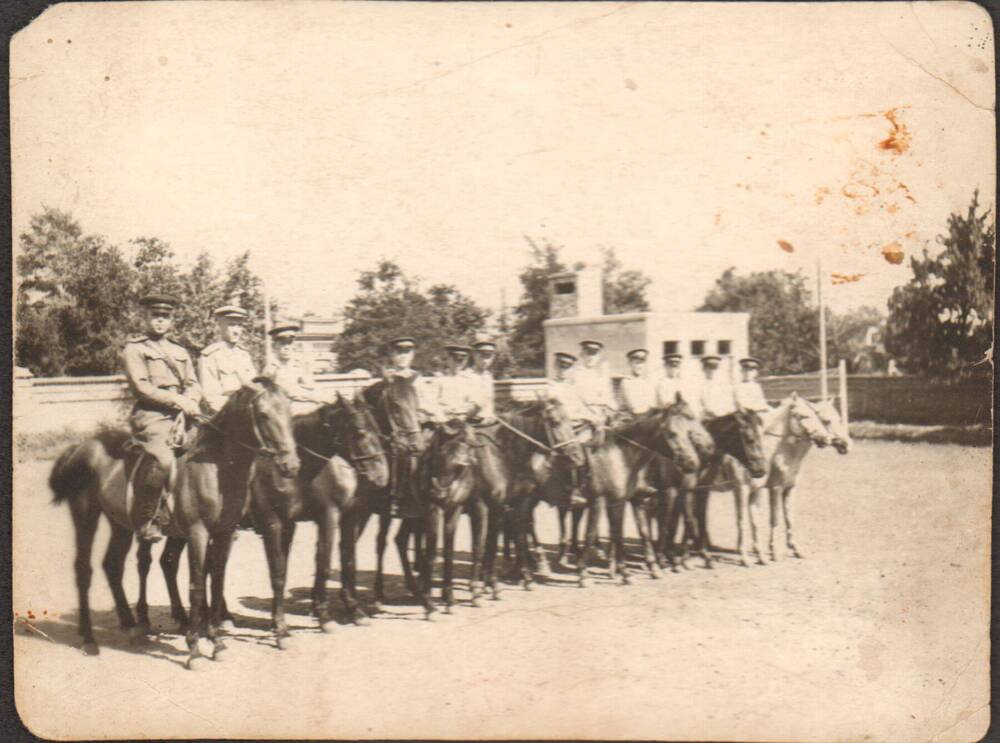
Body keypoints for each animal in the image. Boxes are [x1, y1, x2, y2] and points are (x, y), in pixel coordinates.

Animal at [47, 380, 296, 664]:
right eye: (263, 414)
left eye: (290, 412)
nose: (291, 465)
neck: (216, 465)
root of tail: (78, 447)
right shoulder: (200, 533)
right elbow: (197, 586)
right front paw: (195, 648)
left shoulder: (225, 532)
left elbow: (217, 582)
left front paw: (217, 642)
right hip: (86, 516)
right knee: (84, 569)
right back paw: (90, 638)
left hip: (121, 524)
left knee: (113, 565)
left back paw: (131, 625)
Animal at [248, 396, 388, 644]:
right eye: (360, 432)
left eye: (378, 430)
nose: (381, 476)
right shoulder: (285, 522)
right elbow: (305, 568)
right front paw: (320, 618)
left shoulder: (306, 523)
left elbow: (346, 561)